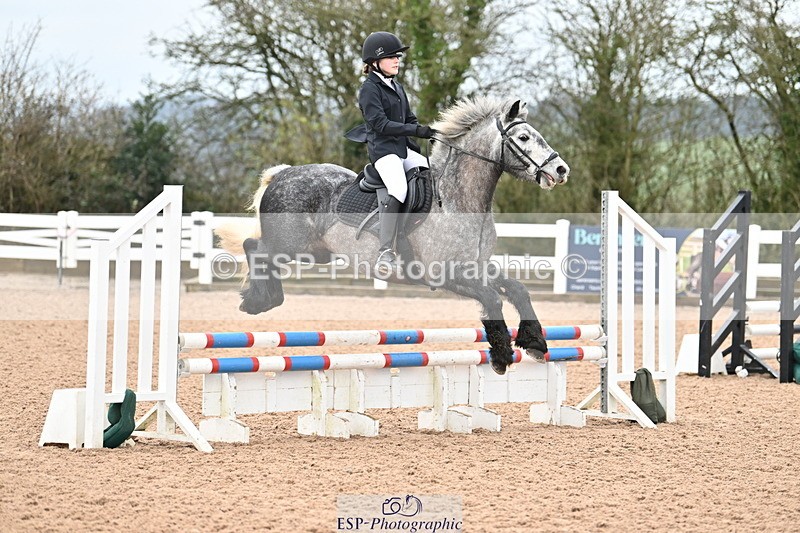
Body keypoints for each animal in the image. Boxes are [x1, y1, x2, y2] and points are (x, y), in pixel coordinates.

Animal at [216, 97, 570, 374]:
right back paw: (259, 299)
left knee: (259, 251)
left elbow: (518, 290)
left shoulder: (477, 267)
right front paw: (501, 357)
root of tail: (283, 173)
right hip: (290, 245)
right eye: (523, 137)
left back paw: (263, 297)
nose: (561, 170)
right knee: (254, 247)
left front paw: (535, 343)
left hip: (315, 252)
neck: (457, 199)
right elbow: (493, 298)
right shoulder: (445, 274)